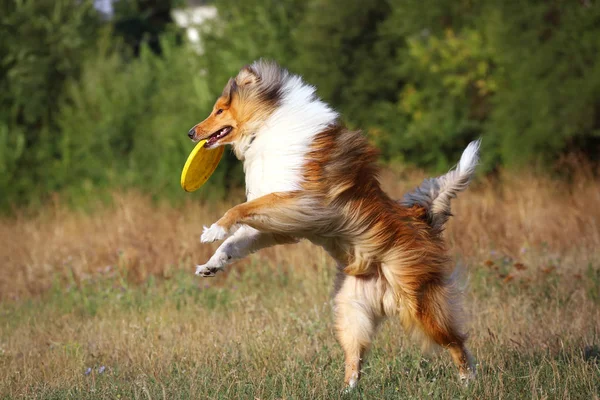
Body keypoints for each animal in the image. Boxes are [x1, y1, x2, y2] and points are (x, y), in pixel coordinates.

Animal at [190, 61, 480, 390]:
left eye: (219, 110)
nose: (190, 133)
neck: (267, 125)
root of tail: (422, 217)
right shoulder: (279, 225)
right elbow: (235, 240)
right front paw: (211, 265)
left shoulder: (303, 202)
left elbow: (238, 208)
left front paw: (213, 229)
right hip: (350, 310)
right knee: (355, 356)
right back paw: (347, 389)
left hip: (418, 303)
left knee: (456, 341)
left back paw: (468, 379)